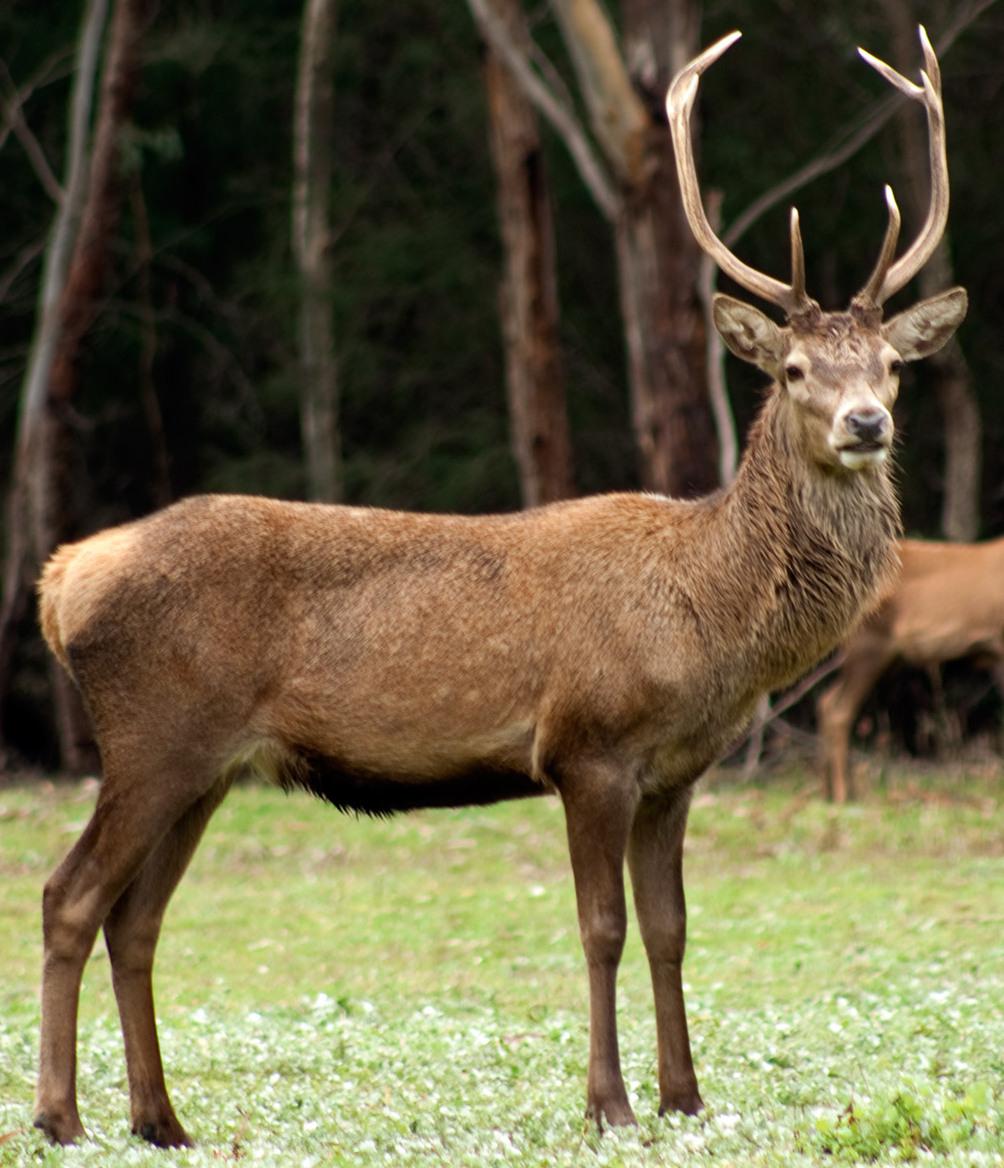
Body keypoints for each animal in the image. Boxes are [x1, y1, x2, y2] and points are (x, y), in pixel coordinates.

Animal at [32, 27, 965, 1148]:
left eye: (889, 366)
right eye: (790, 370)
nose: (864, 423)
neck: (713, 618)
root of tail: (62, 579)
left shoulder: (677, 771)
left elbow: (671, 928)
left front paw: (686, 1096)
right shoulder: (587, 745)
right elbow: (601, 926)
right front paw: (609, 1103)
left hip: (205, 764)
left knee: (136, 919)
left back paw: (159, 1119)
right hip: (151, 736)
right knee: (69, 895)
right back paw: (60, 1117)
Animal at [817, 537, 1004, 802]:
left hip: (884, 655)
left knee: (827, 700)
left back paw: (831, 791)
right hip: (869, 643)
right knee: (837, 709)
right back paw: (842, 794)